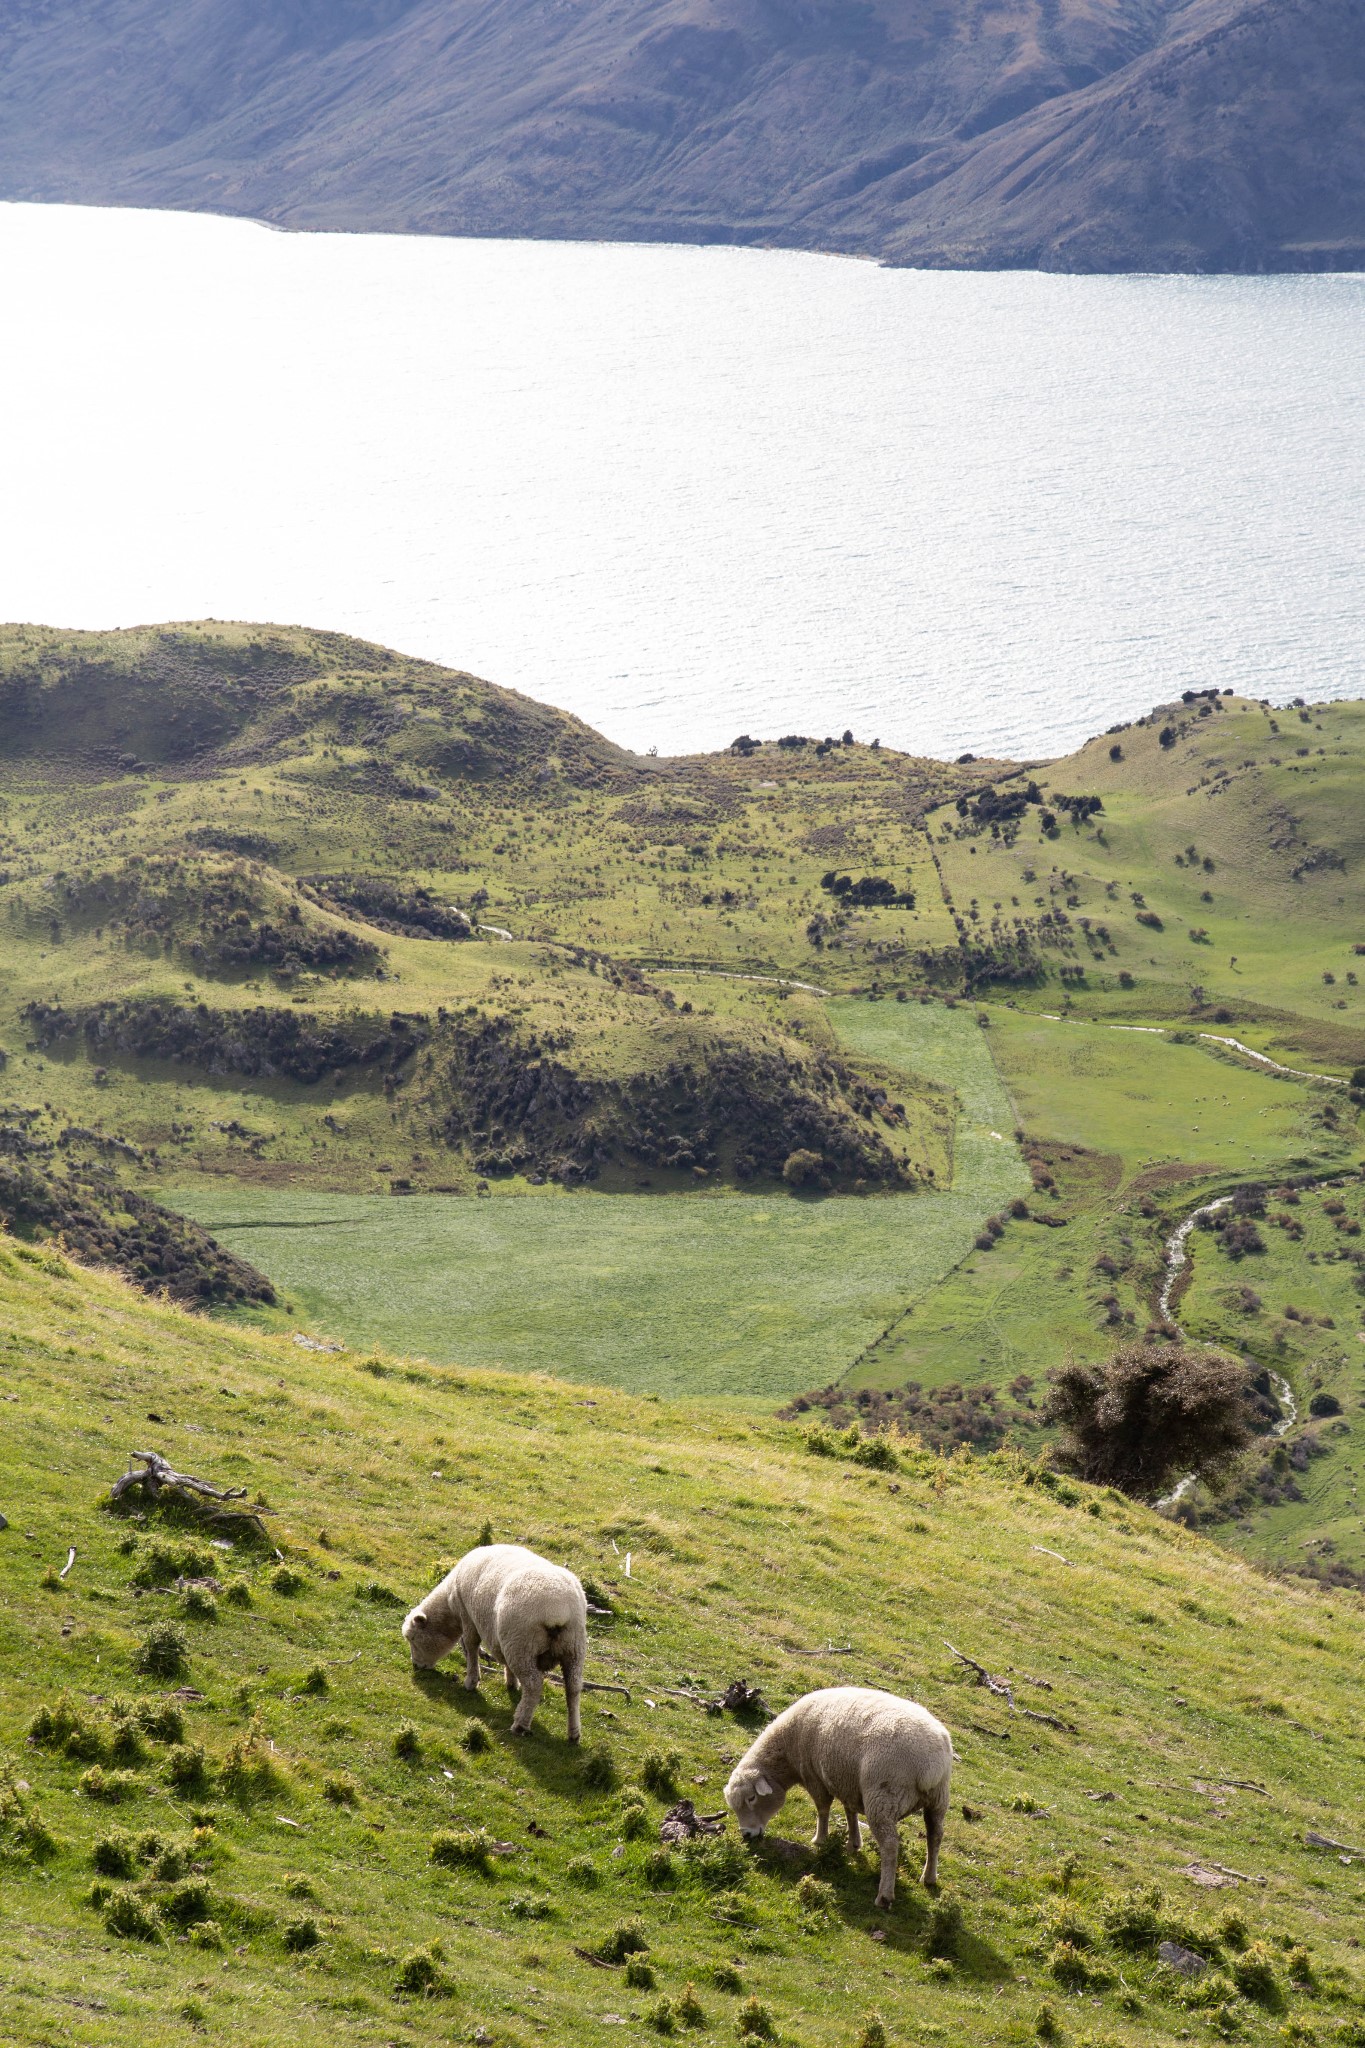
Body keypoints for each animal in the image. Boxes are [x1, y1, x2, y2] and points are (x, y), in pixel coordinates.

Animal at [401, 1540, 581, 1736]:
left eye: (413, 1639)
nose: (416, 1665)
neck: (450, 1605)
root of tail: (558, 1611)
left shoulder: (468, 1617)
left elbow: (471, 1646)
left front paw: (471, 1681)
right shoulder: (500, 1636)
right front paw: (511, 1682)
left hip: (522, 1644)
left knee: (534, 1685)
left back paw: (520, 1724)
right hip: (573, 1646)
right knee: (573, 1688)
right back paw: (574, 1733)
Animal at [724, 1679, 949, 1900]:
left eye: (751, 1798)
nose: (746, 1834)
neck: (787, 1751)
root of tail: (931, 1764)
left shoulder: (815, 1778)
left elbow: (823, 1809)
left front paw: (820, 1839)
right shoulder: (847, 1782)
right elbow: (850, 1812)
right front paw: (853, 1844)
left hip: (883, 1797)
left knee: (890, 1844)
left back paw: (884, 1896)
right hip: (938, 1799)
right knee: (935, 1835)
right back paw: (929, 1878)